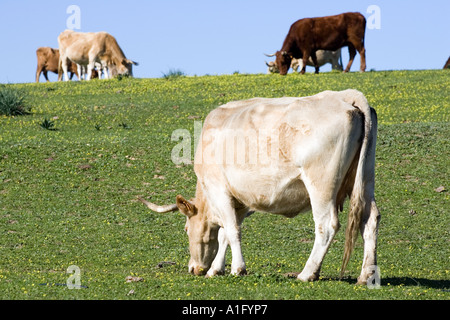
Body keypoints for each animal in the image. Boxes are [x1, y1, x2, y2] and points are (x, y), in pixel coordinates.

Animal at [141, 88, 380, 284]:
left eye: (186, 229)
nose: (193, 268)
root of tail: (344, 96)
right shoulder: (240, 200)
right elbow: (225, 234)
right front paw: (217, 269)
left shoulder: (219, 189)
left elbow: (231, 230)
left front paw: (237, 269)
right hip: (365, 179)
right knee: (369, 219)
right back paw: (366, 275)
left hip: (321, 185)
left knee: (326, 225)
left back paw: (307, 273)